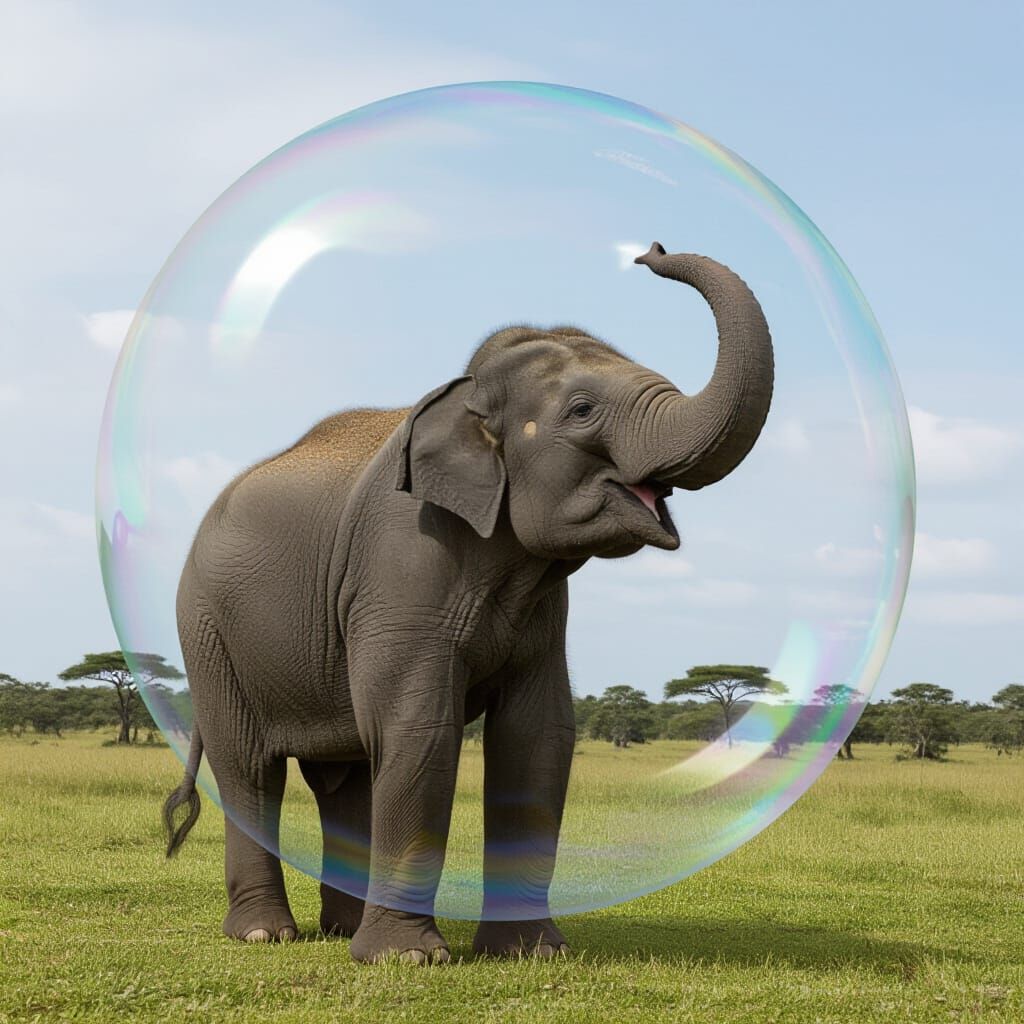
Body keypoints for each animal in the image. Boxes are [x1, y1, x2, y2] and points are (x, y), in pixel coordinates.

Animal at [162, 241, 774, 964]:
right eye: (582, 411)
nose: (649, 252)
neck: (465, 396)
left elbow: (538, 737)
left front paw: (530, 952)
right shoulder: (401, 563)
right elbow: (420, 729)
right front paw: (409, 960)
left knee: (346, 777)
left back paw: (341, 930)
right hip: (206, 629)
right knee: (252, 768)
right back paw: (266, 934)